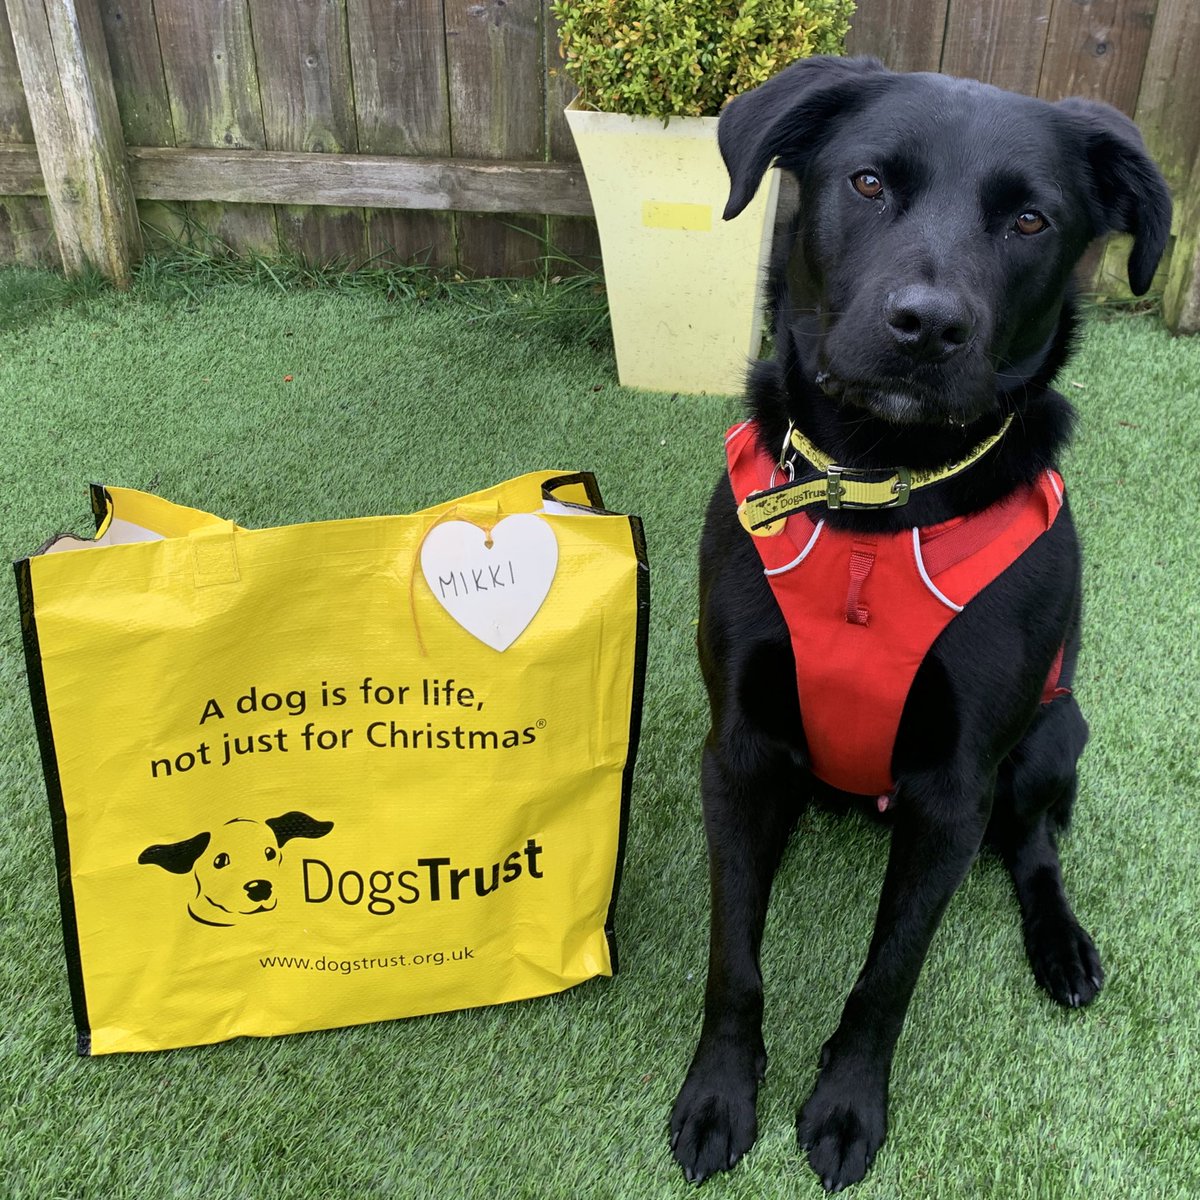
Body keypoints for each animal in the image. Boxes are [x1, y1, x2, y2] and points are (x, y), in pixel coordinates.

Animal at [672, 54, 1166, 1190]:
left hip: (1053, 735)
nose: (928, 325)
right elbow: (734, 950)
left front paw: (848, 1106)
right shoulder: (741, 748)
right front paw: (718, 1093)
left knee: (1033, 847)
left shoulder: (952, 789)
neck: (877, 499)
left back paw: (1062, 945)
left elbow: (888, 973)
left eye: (1030, 219)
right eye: (866, 183)